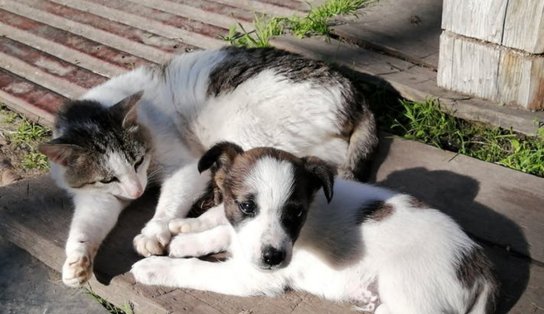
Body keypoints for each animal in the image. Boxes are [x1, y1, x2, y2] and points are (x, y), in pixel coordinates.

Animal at [131, 143, 498, 314]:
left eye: (296, 212)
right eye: (247, 206)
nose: (273, 258)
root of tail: (480, 268)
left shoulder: (251, 277)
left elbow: (197, 270)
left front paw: (156, 267)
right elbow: (222, 231)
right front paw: (185, 240)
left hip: (409, 290)